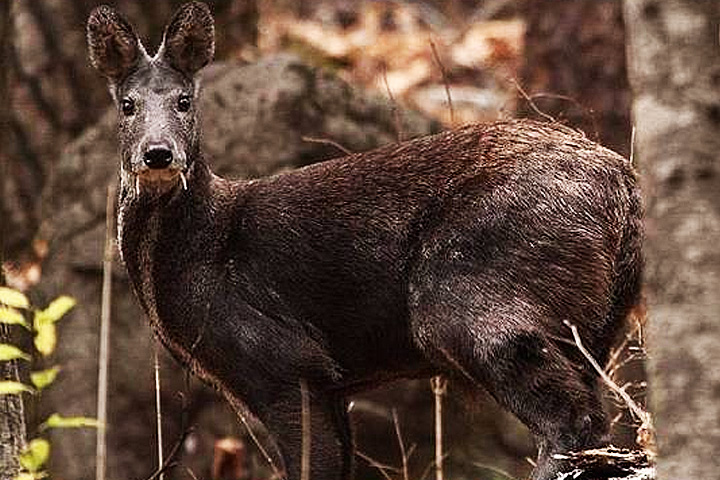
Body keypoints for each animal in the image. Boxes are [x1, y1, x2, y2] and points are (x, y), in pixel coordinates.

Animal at [86, 3, 643, 480]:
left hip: (466, 294)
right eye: (127, 105)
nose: (158, 154)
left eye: (185, 101)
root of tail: (625, 186)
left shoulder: (285, 360)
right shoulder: (330, 383)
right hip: (595, 323)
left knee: (575, 423)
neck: (203, 252)